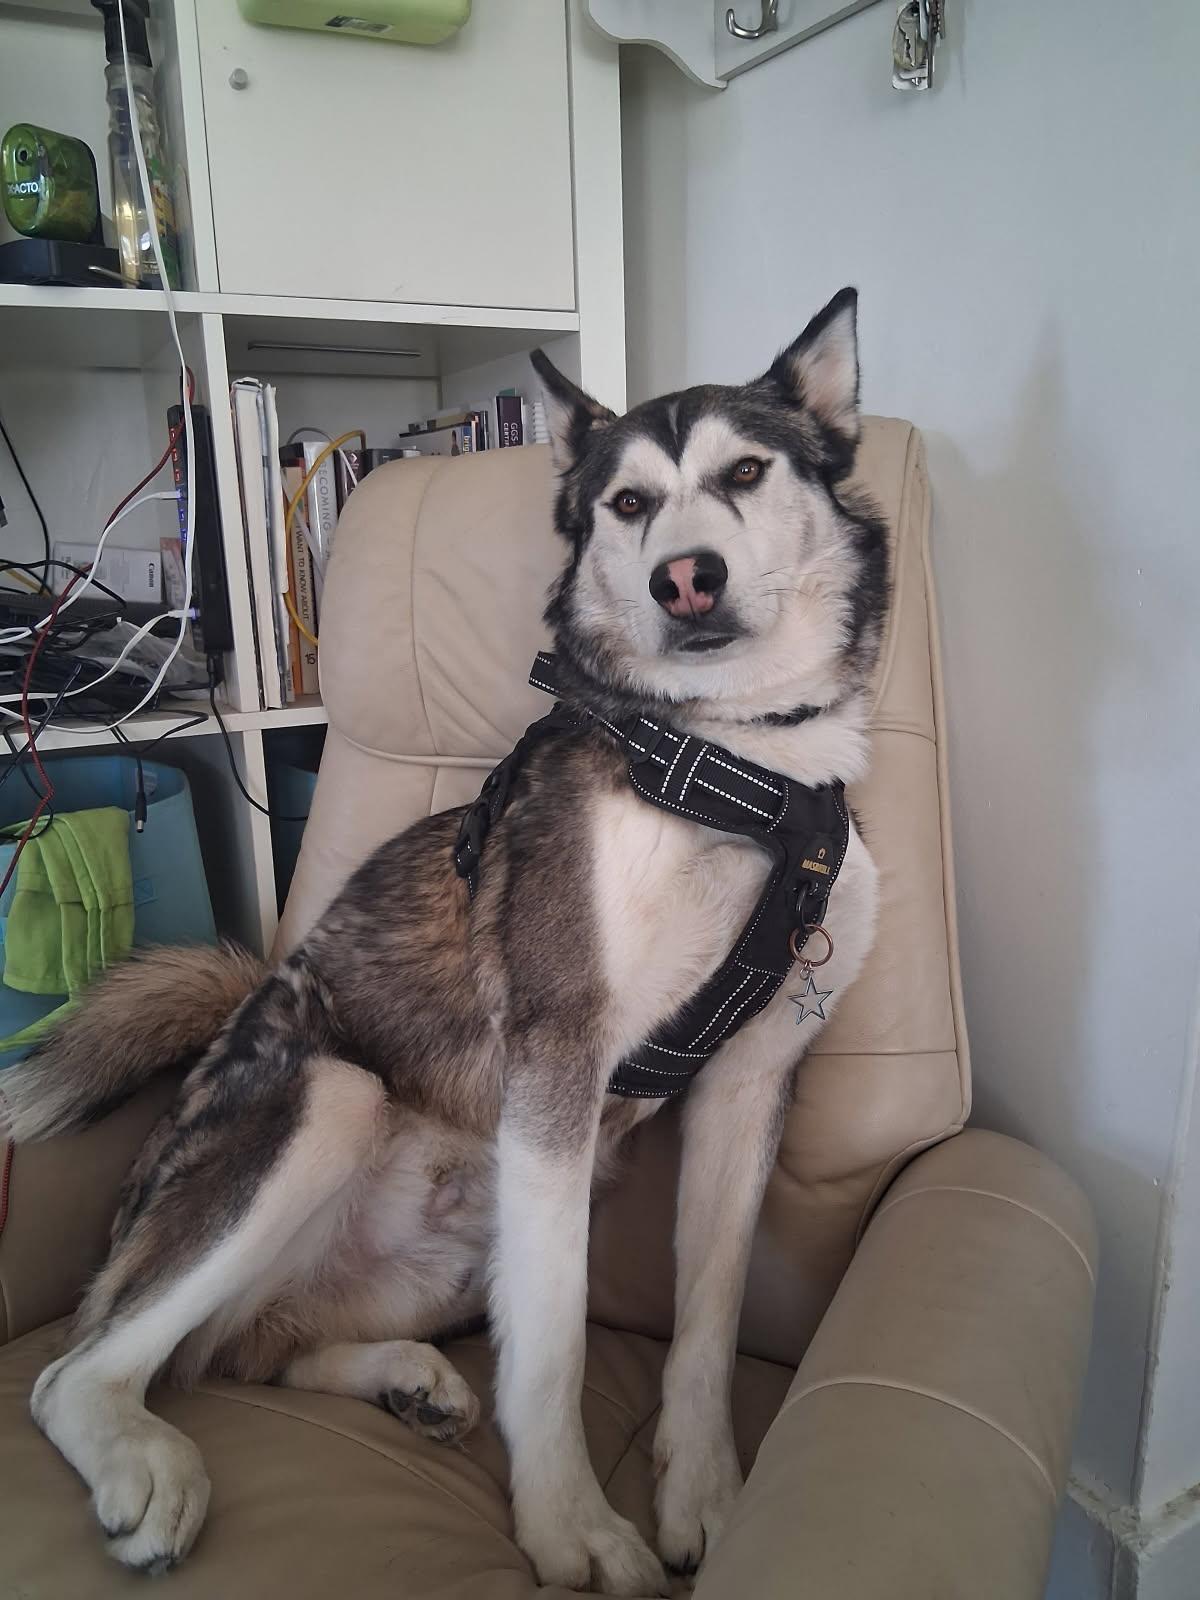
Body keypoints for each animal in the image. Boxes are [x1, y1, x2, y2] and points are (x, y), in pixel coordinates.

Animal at [1, 288, 888, 1595]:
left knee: (243, 1347)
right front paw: (572, 1527)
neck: (738, 773)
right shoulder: (557, 1064)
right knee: (88, 1367)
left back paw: (405, 1380)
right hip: (333, 1097)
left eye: (745, 472)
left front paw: (706, 1493)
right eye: (630, 503)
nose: (686, 578)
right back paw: (147, 1464)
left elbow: (712, 1316)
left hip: (456, 1240)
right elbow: (554, 1349)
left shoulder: (750, 1078)